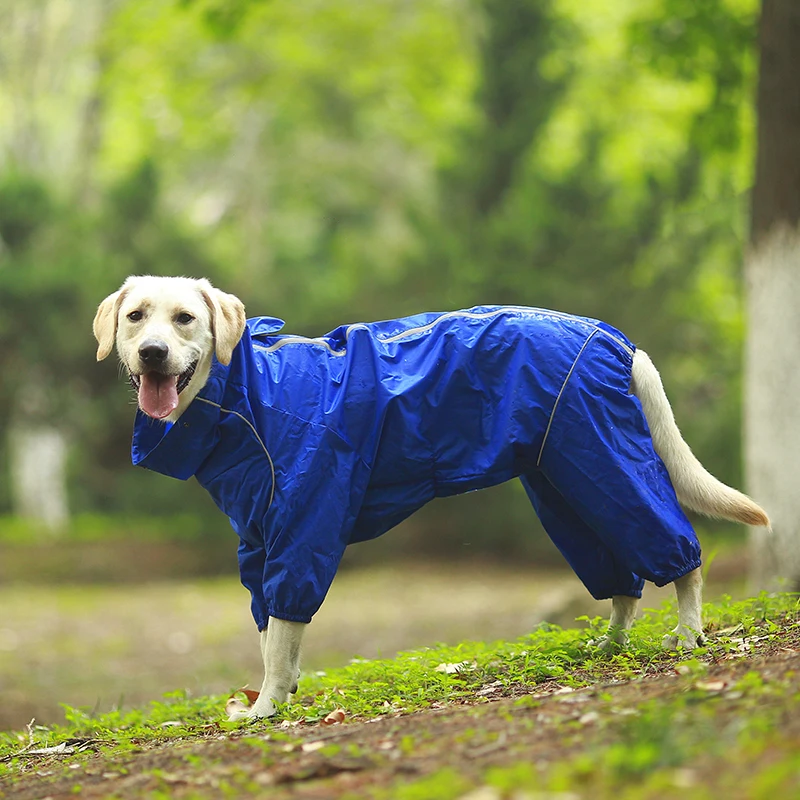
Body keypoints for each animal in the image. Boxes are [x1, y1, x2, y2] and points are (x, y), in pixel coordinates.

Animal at [94, 276, 768, 720]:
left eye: (185, 318)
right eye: (136, 317)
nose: (152, 352)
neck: (246, 396)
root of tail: (610, 335)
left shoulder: (302, 527)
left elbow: (282, 634)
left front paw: (266, 711)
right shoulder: (256, 542)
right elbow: (267, 634)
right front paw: (271, 698)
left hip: (606, 461)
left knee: (680, 554)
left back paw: (688, 634)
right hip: (565, 484)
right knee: (622, 580)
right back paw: (608, 647)